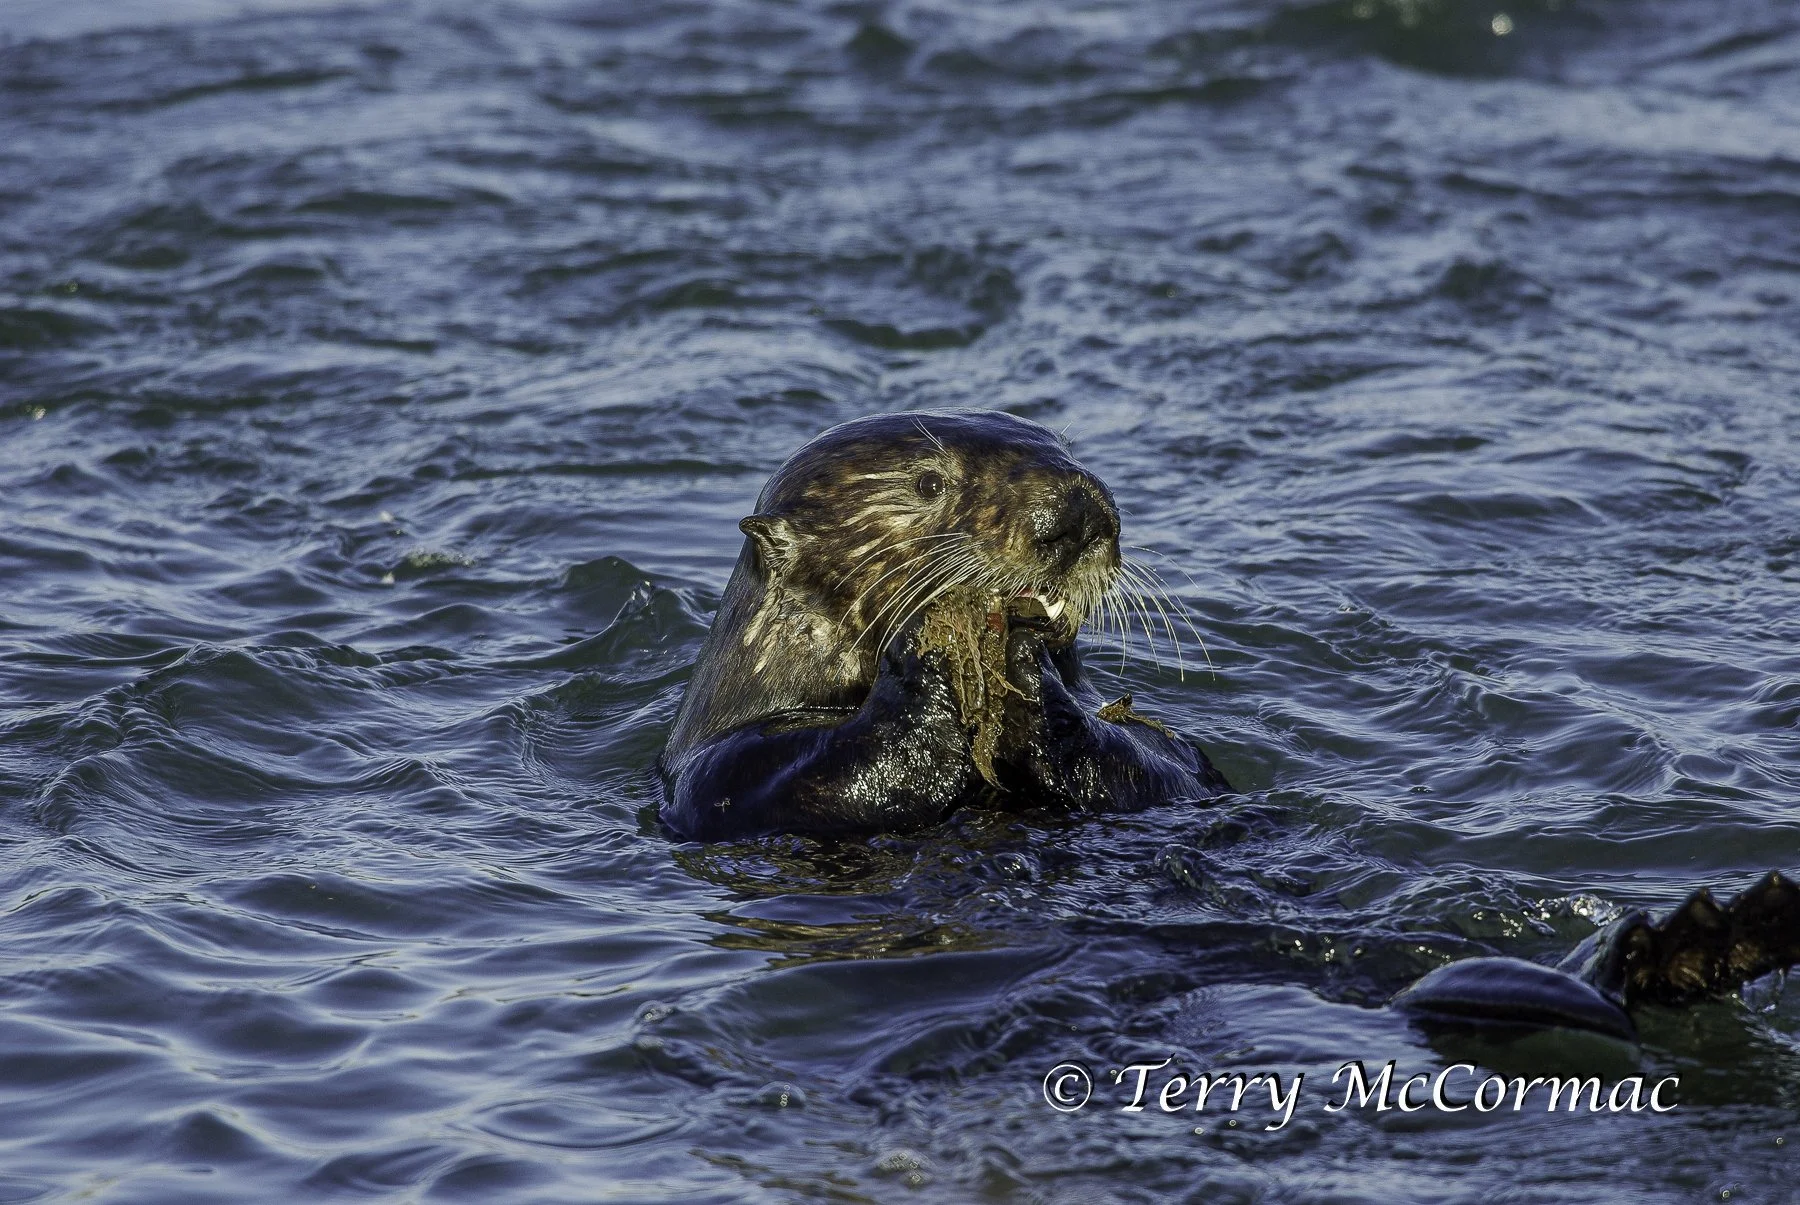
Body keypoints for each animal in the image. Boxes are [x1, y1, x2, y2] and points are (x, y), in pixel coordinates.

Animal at [659, 408, 1800, 1043]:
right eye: (930, 483)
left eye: (1061, 444)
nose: (1077, 512)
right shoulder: (722, 778)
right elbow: (832, 780)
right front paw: (930, 660)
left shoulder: (1171, 755)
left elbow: (1156, 761)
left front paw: (1041, 672)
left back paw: (1705, 938)